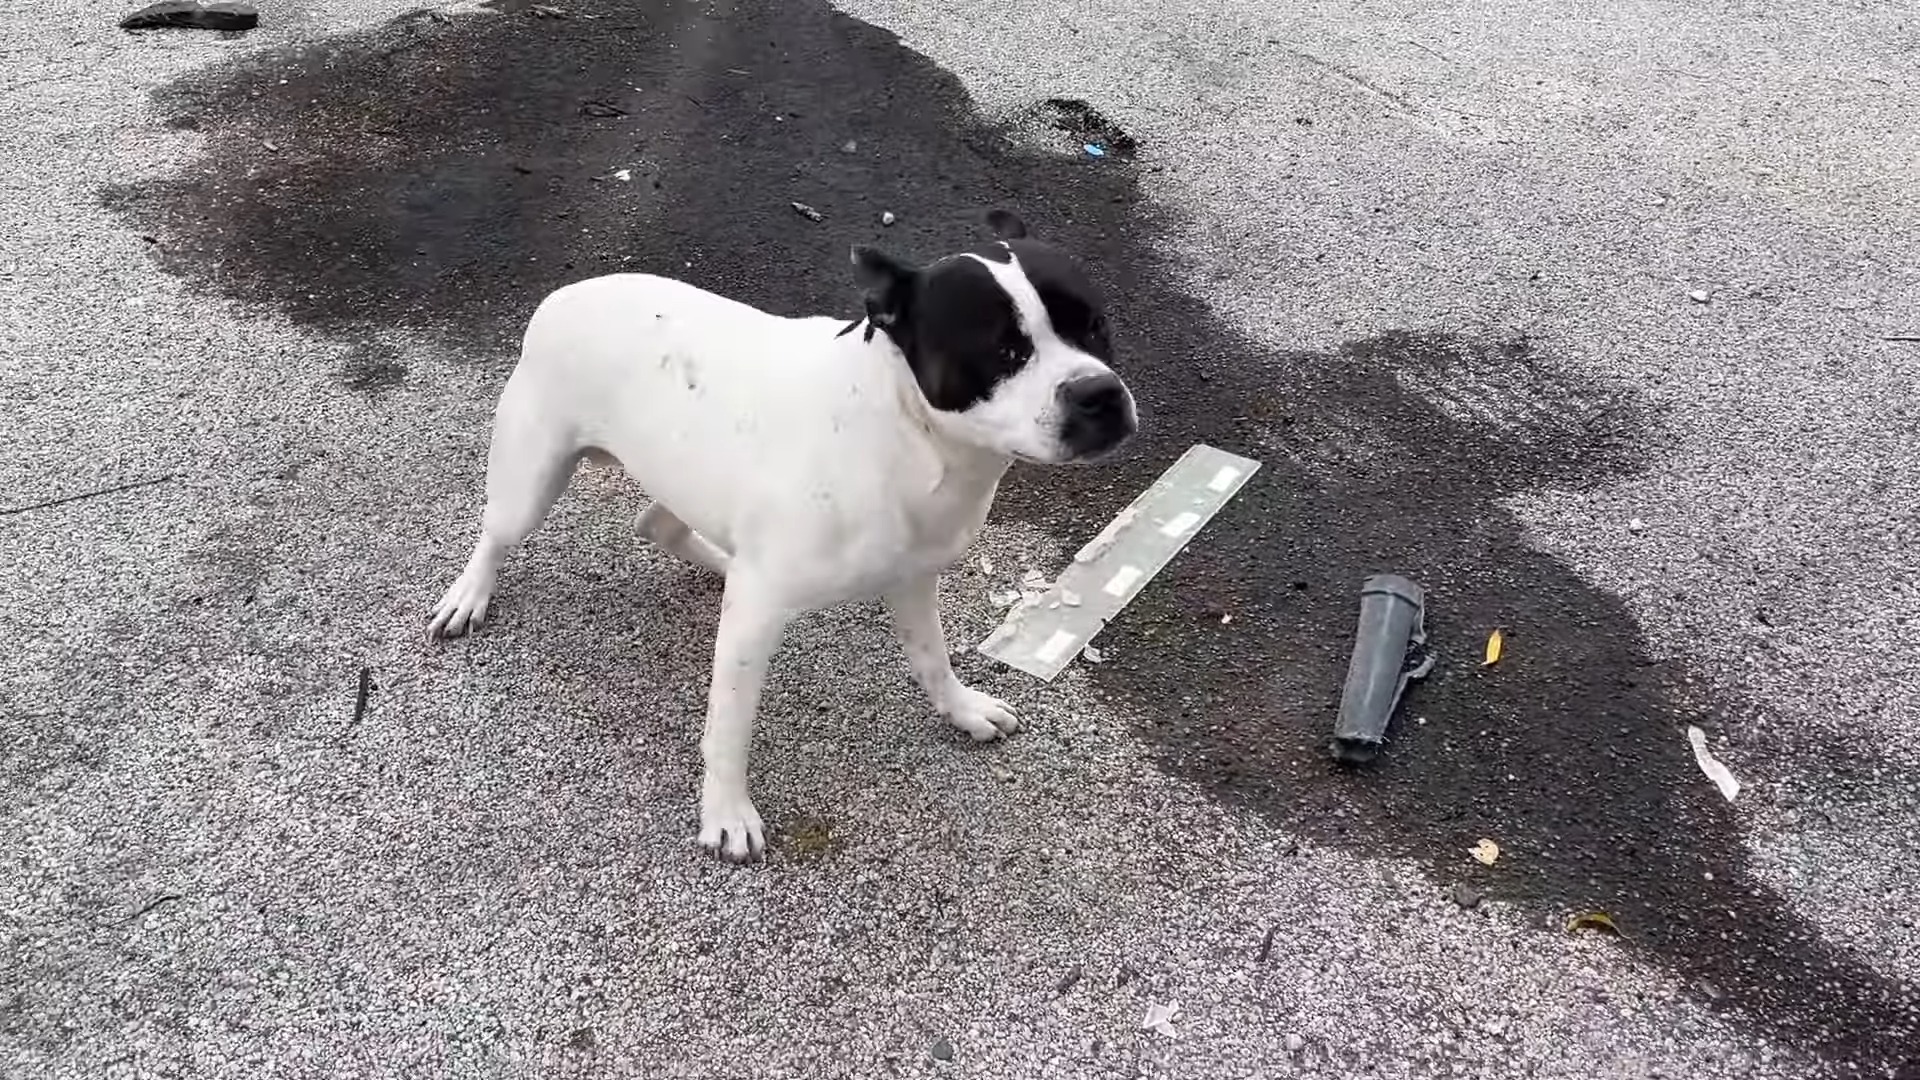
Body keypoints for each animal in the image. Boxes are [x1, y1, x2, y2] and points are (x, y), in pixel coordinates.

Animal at [428, 212, 1128, 857]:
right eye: (1004, 351)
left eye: (1095, 324)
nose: (1099, 393)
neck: (911, 434)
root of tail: (563, 295)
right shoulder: (756, 623)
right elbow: (730, 726)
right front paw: (726, 813)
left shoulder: (913, 579)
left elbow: (933, 658)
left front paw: (962, 710)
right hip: (531, 481)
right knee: (496, 534)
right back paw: (468, 596)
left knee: (657, 522)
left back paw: (717, 560)